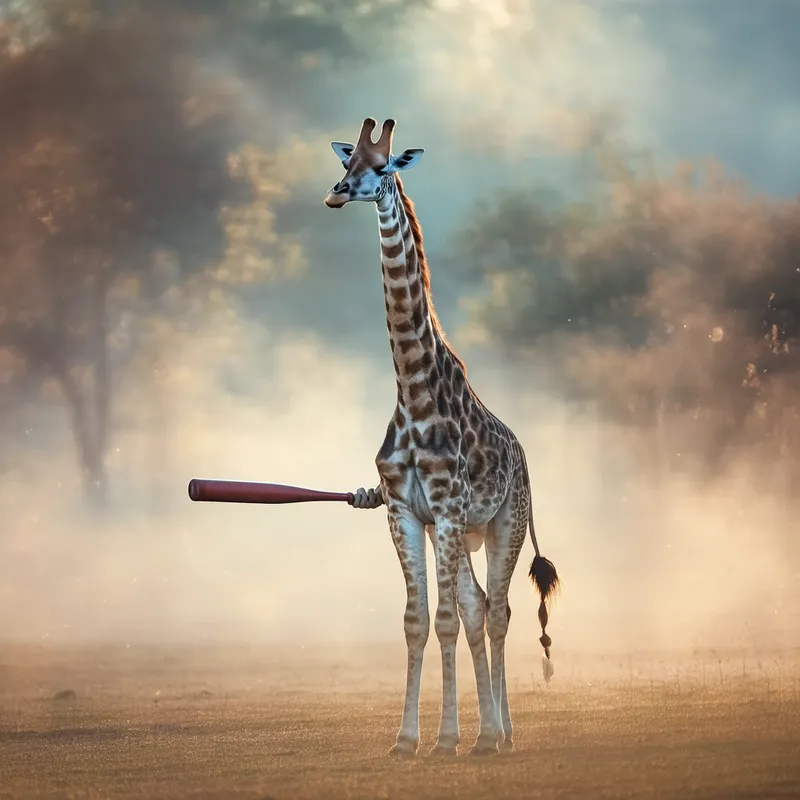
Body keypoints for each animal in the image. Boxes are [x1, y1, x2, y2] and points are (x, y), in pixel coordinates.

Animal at [326, 118, 559, 757]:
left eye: (384, 167)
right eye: (347, 159)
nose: (337, 192)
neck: (412, 387)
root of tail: (524, 456)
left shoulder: (450, 509)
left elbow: (449, 620)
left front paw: (448, 738)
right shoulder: (406, 510)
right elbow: (418, 620)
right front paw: (407, 740)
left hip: (505, 521)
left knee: (499, 611)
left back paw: (499, 735)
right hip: (455, 531)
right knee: (479, 606)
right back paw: (487, 730)